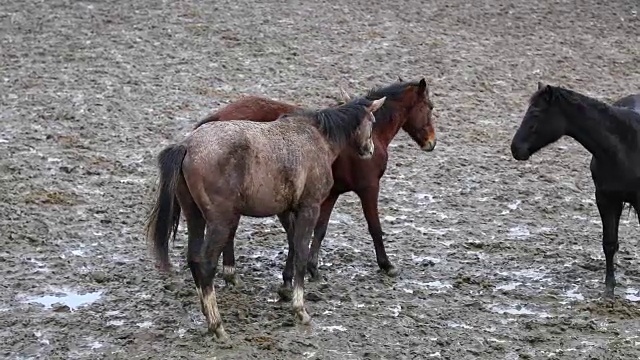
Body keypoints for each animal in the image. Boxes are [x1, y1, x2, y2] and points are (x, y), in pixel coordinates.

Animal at [144, 95, 384, 338]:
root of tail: (187, 145)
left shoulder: (287, 209)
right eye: (373, 121)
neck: (315, 136)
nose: (370, 150)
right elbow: (301, 253)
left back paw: (206, 311)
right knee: (206, 263)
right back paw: (217, 324)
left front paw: (286, 288)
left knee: (193, 258)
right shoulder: (310, 207)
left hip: (195, 216)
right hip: (220, 222)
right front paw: (300, 309)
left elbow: (293, 244)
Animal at [195, 77, 436, 294]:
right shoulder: (368, 188)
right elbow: (374, 227)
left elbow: (320, 230)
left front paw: (312, 269)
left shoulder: (331, 194)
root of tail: (218, 117)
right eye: (430, 107)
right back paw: (231, 272)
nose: (431, 143)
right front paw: (386, 264)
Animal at [510, 83, 640, 300]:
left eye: (536, 113)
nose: (515, 149)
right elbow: (609, 244)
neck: (626, 147)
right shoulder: (605, 199)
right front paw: (608, 290)